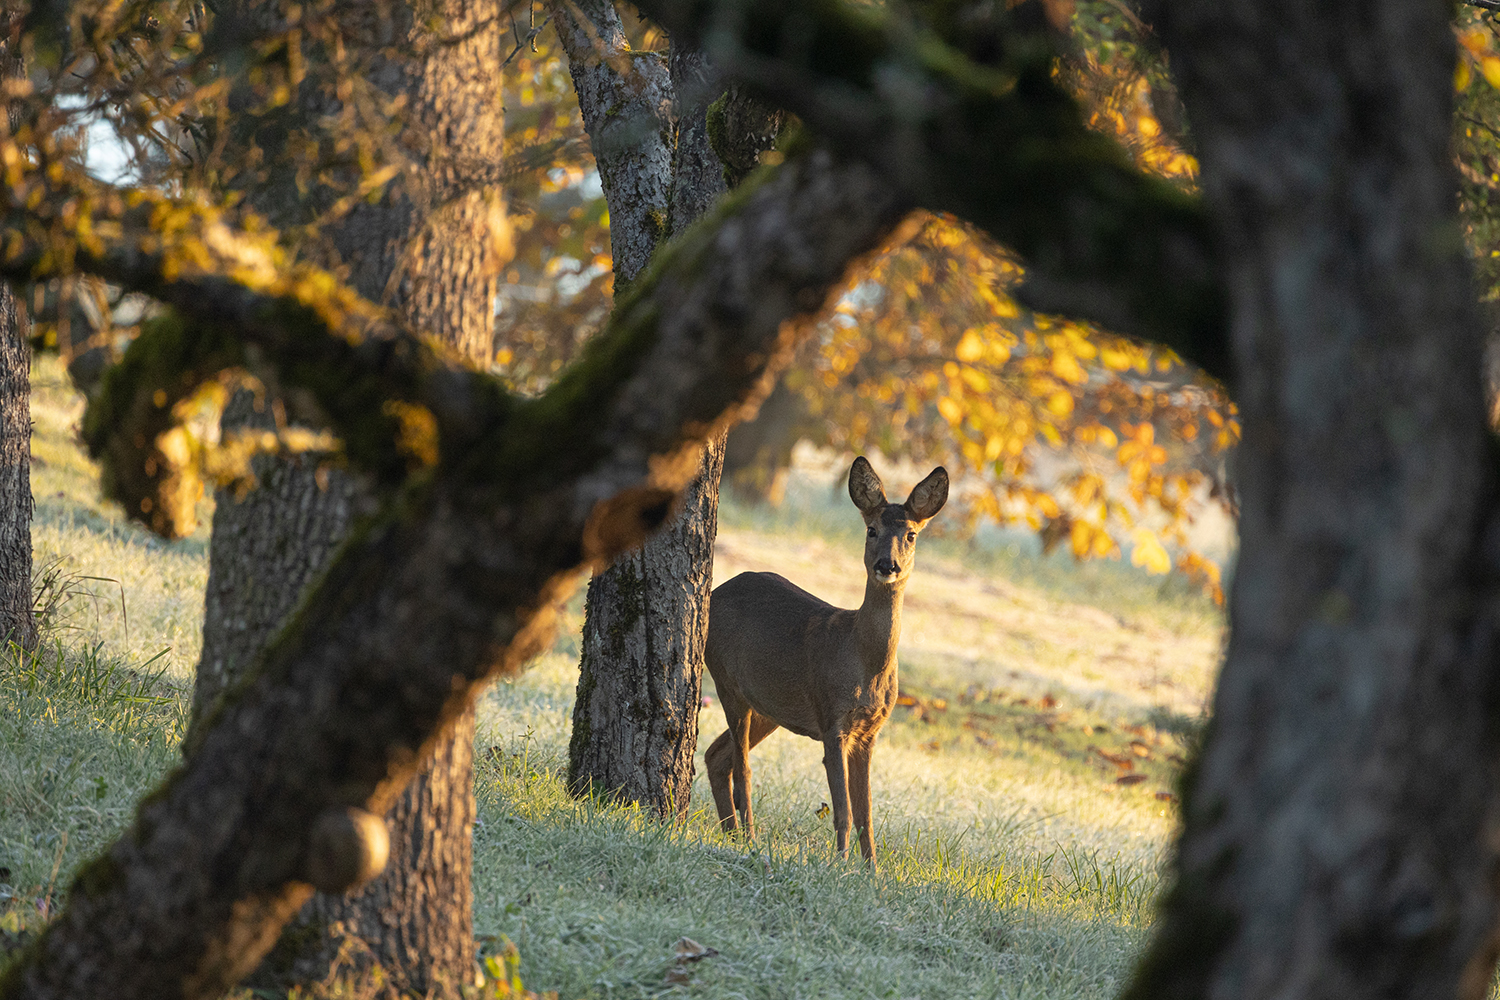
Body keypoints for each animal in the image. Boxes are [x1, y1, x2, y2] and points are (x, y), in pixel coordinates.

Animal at [705, 458, 948, 863]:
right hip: (727, 680)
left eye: (911, 535)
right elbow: (845, 809)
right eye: (871, 529)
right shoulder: (832, 718)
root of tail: (713, 592)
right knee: (742, 769)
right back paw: (748, 838)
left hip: (770, 707)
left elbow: (866, 811)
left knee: (715, 756)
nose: (887, 565)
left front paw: (872, 869)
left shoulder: (870, 731)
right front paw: (841, 863)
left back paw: (733, 835)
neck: (864, 662)